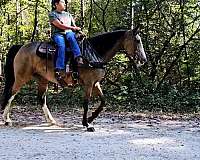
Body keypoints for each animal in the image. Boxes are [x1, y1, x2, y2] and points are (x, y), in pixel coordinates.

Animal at [0, 26, 147, 131]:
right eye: (137, 40)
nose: (144, 60)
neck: (93, 54)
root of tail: (21, 47)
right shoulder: (88, 84)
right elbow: (86, 103)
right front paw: (87, 124)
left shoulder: (95, 83)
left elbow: (103, 102)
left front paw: (90, 118)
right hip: (21, 77)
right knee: (11, 95)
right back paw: (6, 119)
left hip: (42, 80)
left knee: (41, 99)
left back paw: (51, 121)